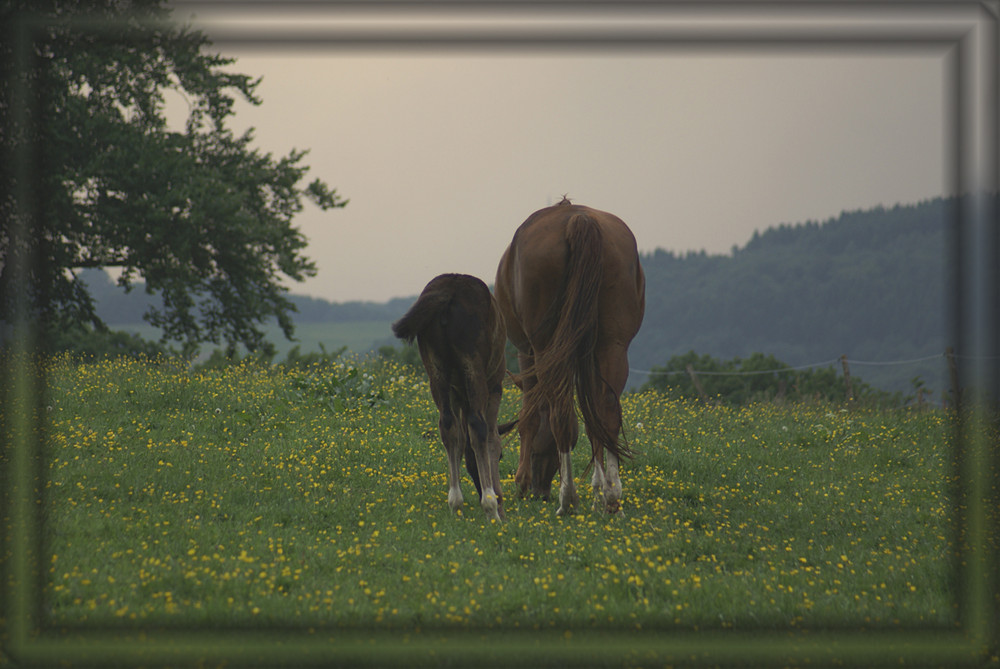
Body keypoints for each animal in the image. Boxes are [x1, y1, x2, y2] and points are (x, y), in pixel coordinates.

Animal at [392, 272, 508, 520]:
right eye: (503, 455)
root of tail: (448, 291)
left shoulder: (456, 392)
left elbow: (460, 438)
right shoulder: (495, 385)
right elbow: (491, 438)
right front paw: (498, 503)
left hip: (435, 369)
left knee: (447, 425)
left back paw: (456, 503)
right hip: (473, 365)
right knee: (478, 426)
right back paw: (489, 506)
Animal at [494, 198, 648, 516]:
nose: (540, 491)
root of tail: (579, 219)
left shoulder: (526, 351)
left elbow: (530, 415)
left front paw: (521, 481)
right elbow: (592, 422)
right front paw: (600, 490)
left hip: (544, 347)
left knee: (561, 414)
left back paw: (567, 499)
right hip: (613, 345)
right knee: (608, 413)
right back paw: (613, 498)